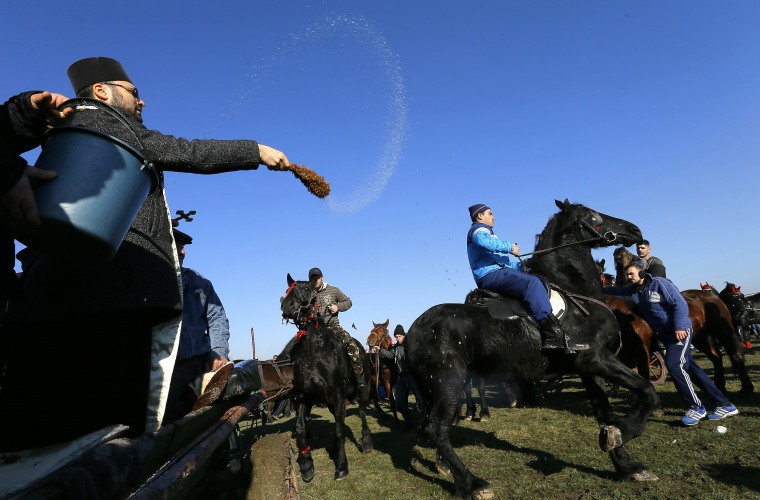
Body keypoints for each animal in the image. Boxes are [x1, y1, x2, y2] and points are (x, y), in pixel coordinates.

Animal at [280, 274, 374, 480]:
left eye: (306, 289)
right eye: (288, 290)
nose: (286, 306)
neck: (316, 352)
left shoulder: (337, 394)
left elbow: (339, 430)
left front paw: (342, 466)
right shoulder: (304, 396)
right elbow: (300, 428)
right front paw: (307, 465)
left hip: (363, 391)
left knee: (361, 412)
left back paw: (366, 442)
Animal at [404, 200, 660, 500]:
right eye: (593, 214)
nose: (634, 230)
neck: (577, 296)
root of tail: (412, 332)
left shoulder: (589, 369)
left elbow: (604, 414)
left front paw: (626, 462)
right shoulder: (595, 358)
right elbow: (647, 391)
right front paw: (624, 431)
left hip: (438, 388)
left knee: (437, 427)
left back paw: (445, 467)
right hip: (448, 383)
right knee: (437, 429)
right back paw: (472, 483)